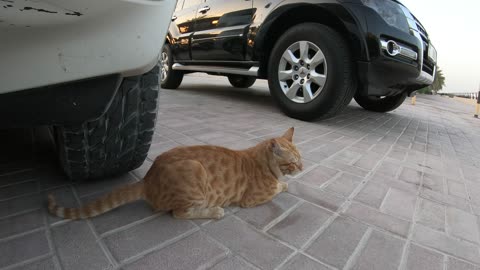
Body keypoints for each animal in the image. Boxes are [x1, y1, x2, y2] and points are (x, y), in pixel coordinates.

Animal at [49, 127, 304, 219]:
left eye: (301, 158)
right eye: (293, 162)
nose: (303, 168)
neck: (262, 161)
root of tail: (148, 179)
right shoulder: (252, 199)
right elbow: (277, 187)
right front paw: (284, 184)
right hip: (195, 173)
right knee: (179, 214)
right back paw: (215, 211)